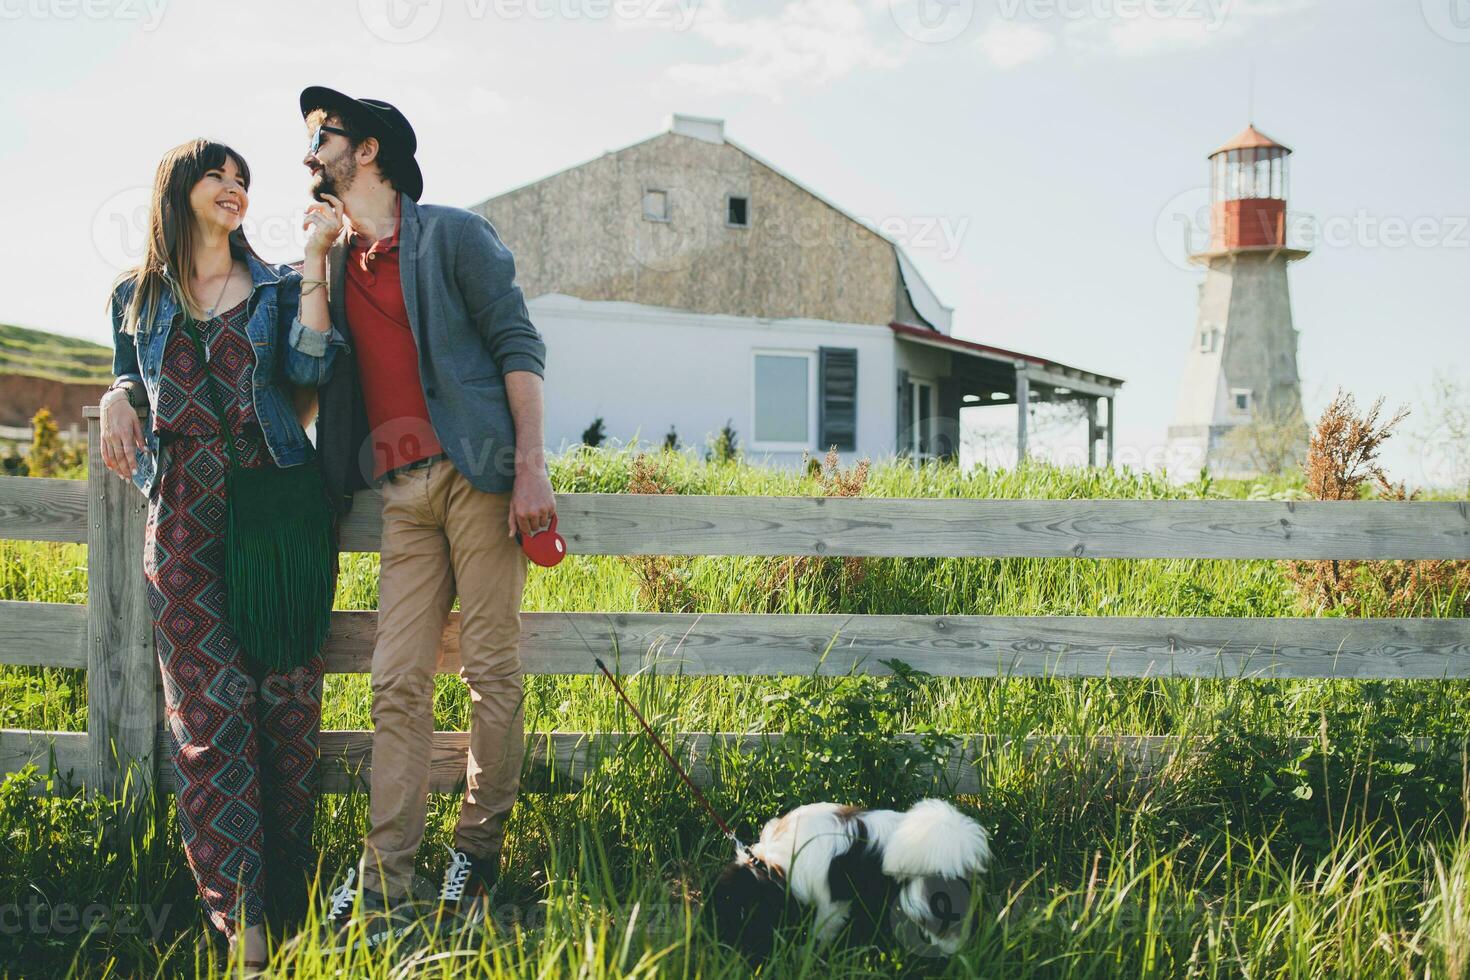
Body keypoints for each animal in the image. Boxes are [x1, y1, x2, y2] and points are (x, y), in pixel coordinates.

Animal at [708, 799, 993, 963]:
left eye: (733, 910)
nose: (718, 940)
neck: (769, 865)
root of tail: (954, 839)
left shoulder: (831, 905)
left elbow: (820, 932)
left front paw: (807, 954)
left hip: (923, 902)